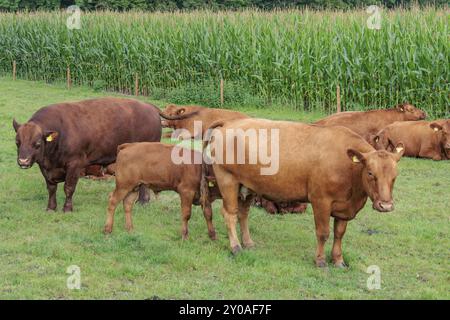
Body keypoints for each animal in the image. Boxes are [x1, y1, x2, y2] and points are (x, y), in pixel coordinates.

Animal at [12, 97, 162, 212]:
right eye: (17, 142)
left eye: (37, 143)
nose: (23, 161)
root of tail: (149, 106)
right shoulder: (46, 168)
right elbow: (51, 188)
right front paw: (51, 208)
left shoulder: (75, 165)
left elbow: (69, 188)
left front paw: (67, 208)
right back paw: (142, 201)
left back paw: (143, 201)